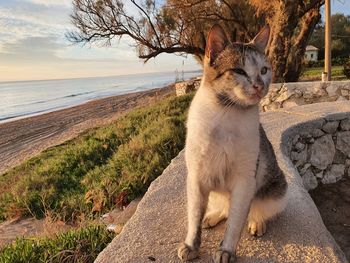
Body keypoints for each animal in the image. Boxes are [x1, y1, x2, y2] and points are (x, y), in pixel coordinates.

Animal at [178, 23, 288, 262]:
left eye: (264, 70)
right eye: (239, 71)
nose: (259, 86)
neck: (225, 114)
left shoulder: (245, 179)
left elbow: (236, 222)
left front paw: (227, 250)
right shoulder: (196, 176)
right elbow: (193, 216)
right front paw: (191, 245)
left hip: (277, 189)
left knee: (255, 209)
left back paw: (257, 222)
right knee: (224, 208)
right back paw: (212, 216)